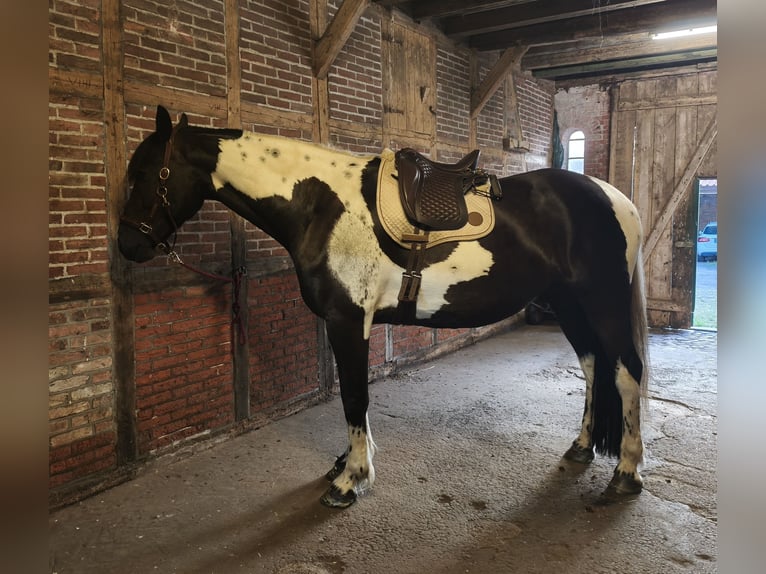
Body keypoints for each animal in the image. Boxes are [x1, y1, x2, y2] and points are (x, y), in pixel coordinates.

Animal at [118, 105, 649, 508]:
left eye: (144, 174)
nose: (127, 246)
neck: (320, 205)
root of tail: (617, 198)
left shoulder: (348, 321)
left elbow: (354, 397)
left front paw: (350, 478)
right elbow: (351, 395)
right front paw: (346, 463)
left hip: (602, 303)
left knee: (626, 372)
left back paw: (626, 472)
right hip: (568, 305)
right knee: (592, 366)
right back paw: (582, 448)